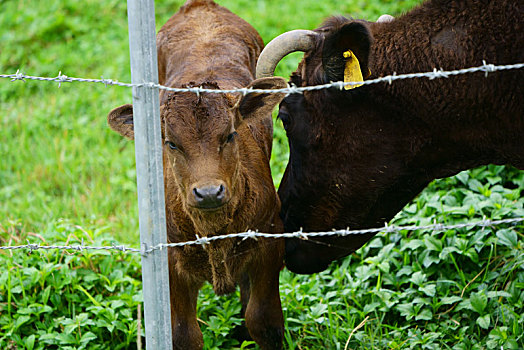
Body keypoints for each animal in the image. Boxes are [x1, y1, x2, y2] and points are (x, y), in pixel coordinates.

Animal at [107, 1, 286, 348]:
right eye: (171, 143)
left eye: (230, 135)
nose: (209, 192)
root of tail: (200, 6)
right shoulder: (170, 263)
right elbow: (182, 333)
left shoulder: (270, 241)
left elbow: (263, 320)